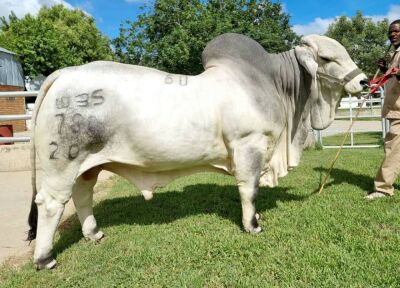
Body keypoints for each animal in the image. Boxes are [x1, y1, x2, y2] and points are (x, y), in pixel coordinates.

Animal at [27, 33, 366, 270]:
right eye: (326, 57)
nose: (363, 81)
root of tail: (65, 74)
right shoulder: (249, 146)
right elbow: (249, 190)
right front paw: (253, 224)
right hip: (63, 161)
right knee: (51, 203)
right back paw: (45, 258)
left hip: (88, 164)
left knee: (82, 195)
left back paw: (94, 233)